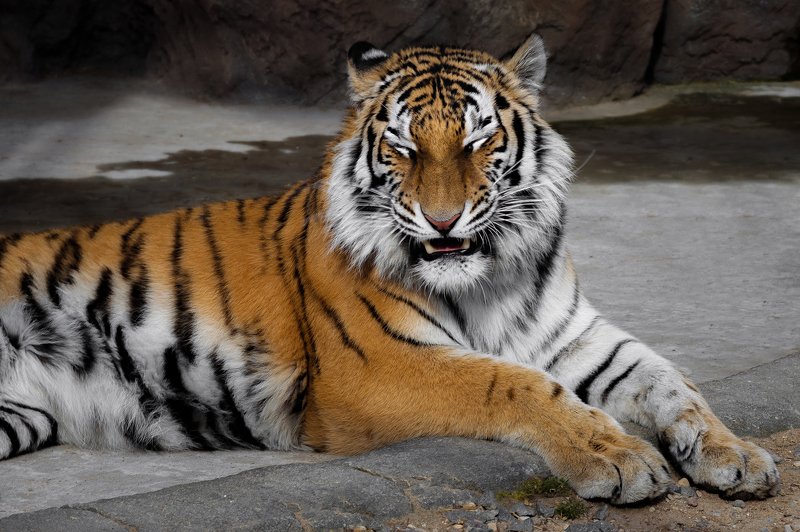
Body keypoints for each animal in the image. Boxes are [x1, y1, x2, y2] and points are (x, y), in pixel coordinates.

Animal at [0, 33, 779, 504]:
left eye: (478, 140)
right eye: (402, 146)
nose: (442, 220)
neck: (490, 279)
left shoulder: (578, 338)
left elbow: (672, 380)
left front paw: (735, 454)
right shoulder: (379, 366)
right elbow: (516, 384)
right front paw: (619, 459)